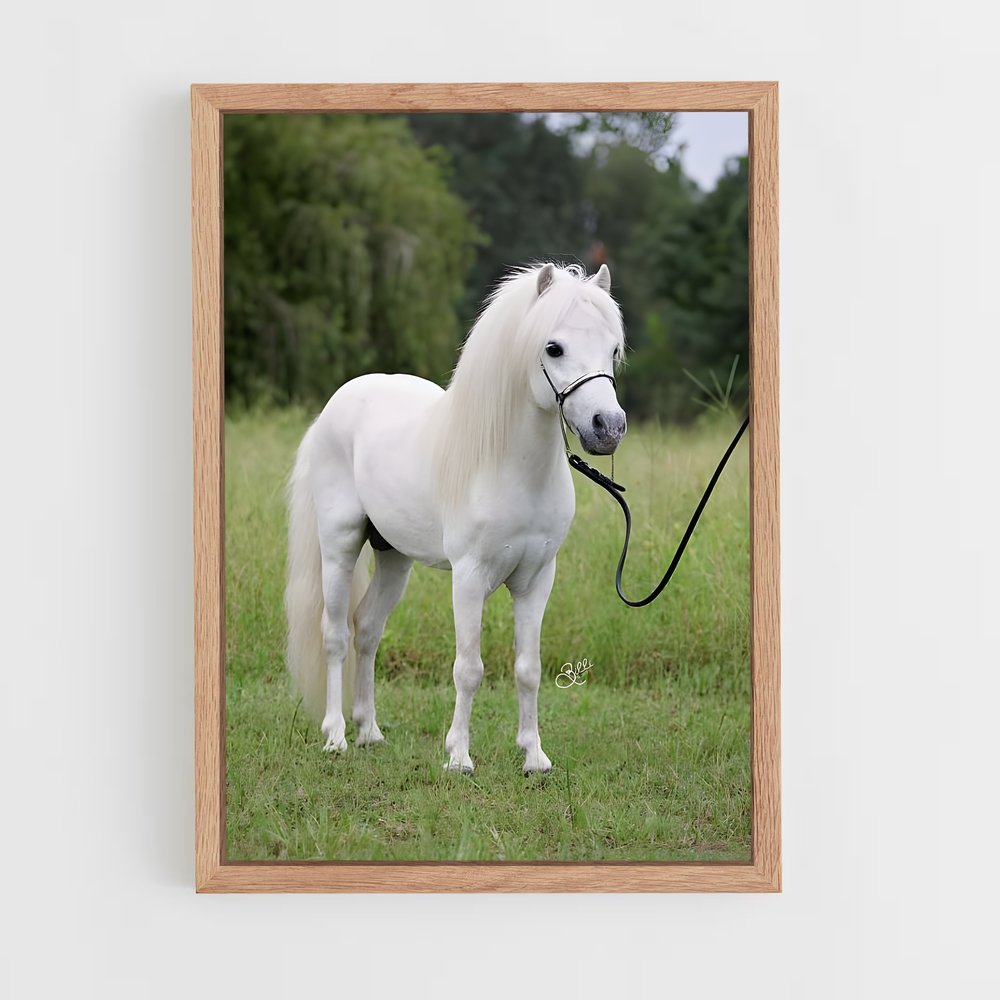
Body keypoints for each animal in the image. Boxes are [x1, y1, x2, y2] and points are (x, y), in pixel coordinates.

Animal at [284, 262, 627, 773]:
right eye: (553, 347)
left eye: (613, 348)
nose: (608, 427)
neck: (508, 467)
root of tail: (335, 406)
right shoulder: (468, 578)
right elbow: (469, 669)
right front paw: (459, 757)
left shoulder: (537, 579)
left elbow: (528, 669)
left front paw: (534, 757)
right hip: (339, 546)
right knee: (335, 635)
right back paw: (336, 736)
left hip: (394, 558)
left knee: (367, 629)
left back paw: (369, 731)